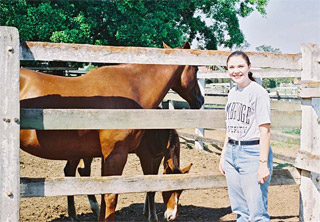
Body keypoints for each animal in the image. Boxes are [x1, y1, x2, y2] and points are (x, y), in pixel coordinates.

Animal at [19, 41, 202, 220]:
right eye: (196, 69)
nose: (200, 100)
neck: (132, 90)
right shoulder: (117, 155)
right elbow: (111, 197)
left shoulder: (108, 156)